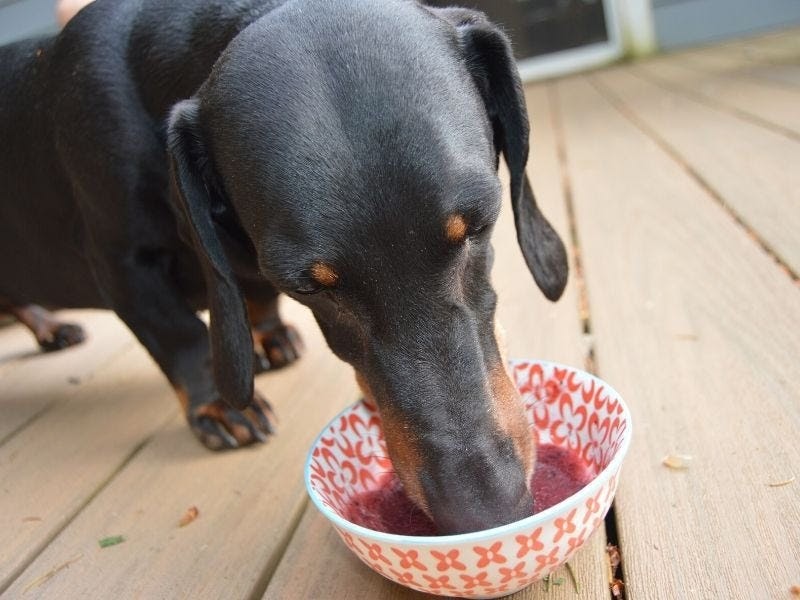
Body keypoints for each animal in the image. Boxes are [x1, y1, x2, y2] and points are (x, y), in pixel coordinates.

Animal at [0, 0, 568, 536]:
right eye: (310, 286)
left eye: (477, 225)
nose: (488, 509)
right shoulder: (121, 261)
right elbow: (179, 335)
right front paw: (220, 405)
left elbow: (253, 296)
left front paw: (267, 334)